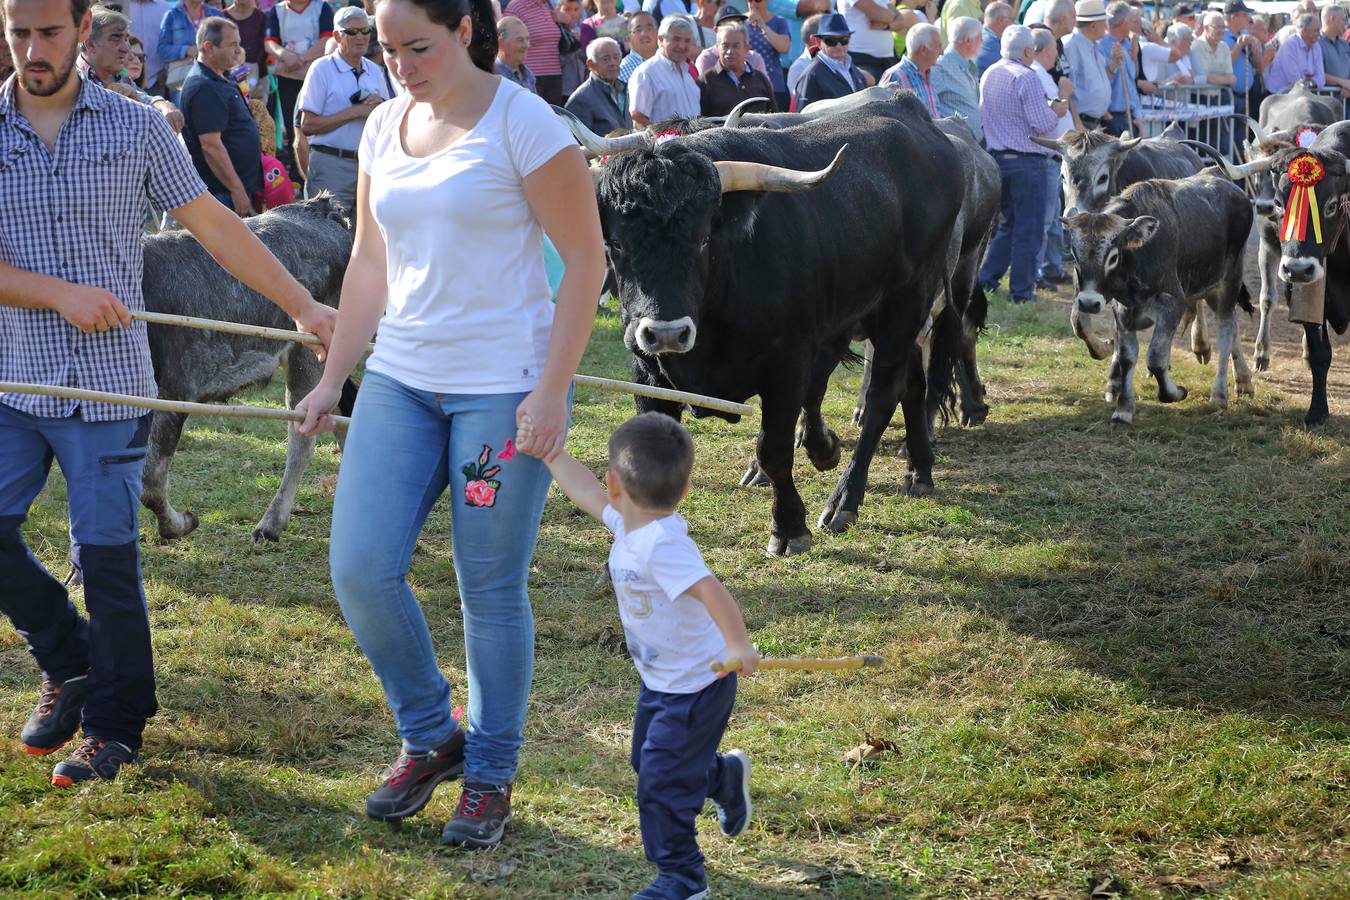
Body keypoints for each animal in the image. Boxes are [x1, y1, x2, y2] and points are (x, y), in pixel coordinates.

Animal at [564, 95, 966, 553]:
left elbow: (774, 447)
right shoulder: (647, 371)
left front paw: (790, 527)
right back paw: (918, 471)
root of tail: (912, 113)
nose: (667, 333)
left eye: (703, 239)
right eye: (616, 243)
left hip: (908, 302)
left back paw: (845, 500)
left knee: (883, 393)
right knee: (911, 382)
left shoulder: (787, 362)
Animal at [1063, 176, 1252, 429]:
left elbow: (1155, 358)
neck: (1140, 254)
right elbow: (1127, 358)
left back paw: (1219, 394)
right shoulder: (1124, 311)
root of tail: (1234, 189)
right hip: (1210, 289)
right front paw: (1123, 409)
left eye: (1112, 256)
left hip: (1228, 284)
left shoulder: (1173, 303)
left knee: (1225, 331)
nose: (1089, 303)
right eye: (1075, 255)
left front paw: (1175, 393)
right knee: (1233, 330)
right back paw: (1243, 380)